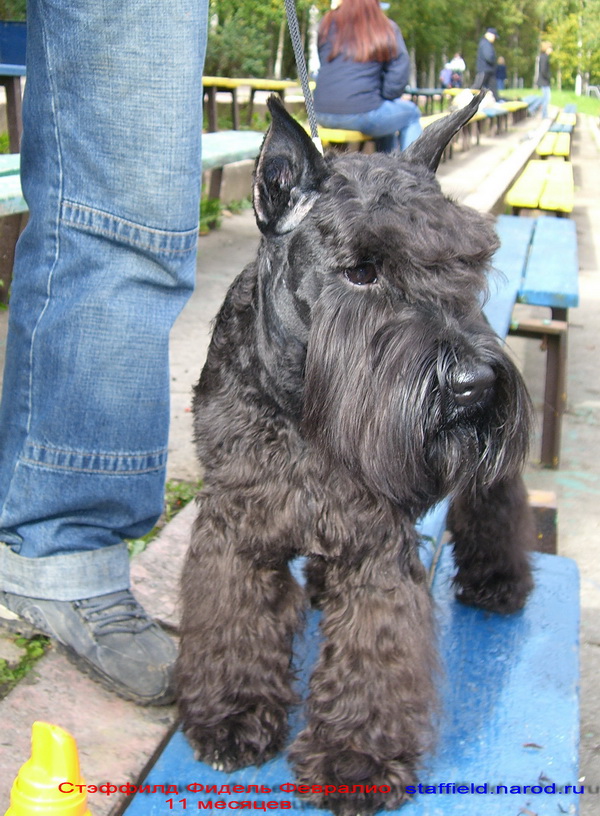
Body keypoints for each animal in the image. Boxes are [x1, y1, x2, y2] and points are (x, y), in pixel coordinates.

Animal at [176, 94, 535, 815]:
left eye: (470, 261)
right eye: (361, 271)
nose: (475, 385)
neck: (301, 408)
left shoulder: (375, 545)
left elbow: (375, 653)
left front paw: (355, 757)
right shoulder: (236, 525)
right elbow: (232, 618)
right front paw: (231, 714)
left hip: (487, 478)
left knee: (497, 503)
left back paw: (498, 582)